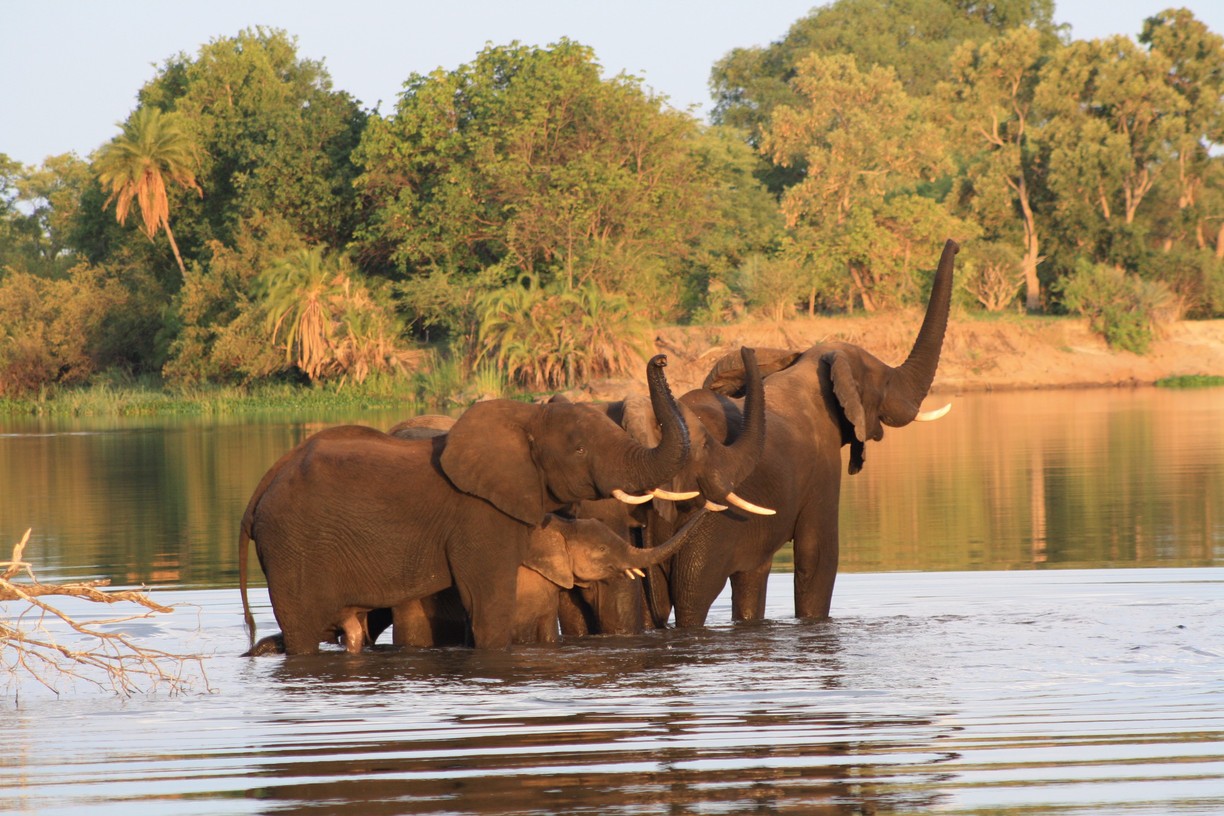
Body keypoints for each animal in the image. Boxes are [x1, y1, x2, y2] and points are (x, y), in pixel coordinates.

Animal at [238, 354, 695, 655]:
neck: (526, 418)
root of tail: (259, 492)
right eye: (580, 449)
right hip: (291, 548)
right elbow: (489, 606)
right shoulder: (479, 518)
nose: (660, 357)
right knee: (302, 631)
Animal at [646, 239, 959, 631]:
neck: (810, 366)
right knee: (693, 595)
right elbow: (818, 555)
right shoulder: (823, 468)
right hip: (704, 520)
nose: (954, 243)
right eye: (886, 383)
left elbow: (756, 576)